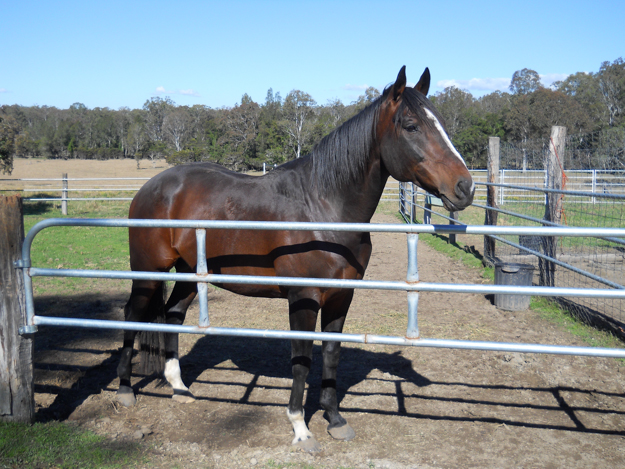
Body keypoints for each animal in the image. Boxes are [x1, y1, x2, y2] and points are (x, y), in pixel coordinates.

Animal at [118, 66, 472, 450]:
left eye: (442, 124)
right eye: (411, 125)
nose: (465, 187)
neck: (323, 208)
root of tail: (152, 187)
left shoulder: (341, 296)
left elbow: (331, 354)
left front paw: (335, 419)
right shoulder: (303, 298)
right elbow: (301, 360)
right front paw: (301, 428)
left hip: (189, 271)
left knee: (173, 315)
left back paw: (180, 388)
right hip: (148, 271)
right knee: (132, 315)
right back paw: (124, 391)